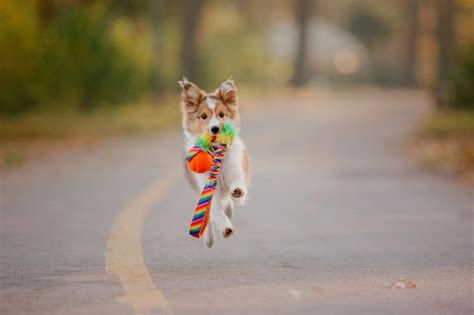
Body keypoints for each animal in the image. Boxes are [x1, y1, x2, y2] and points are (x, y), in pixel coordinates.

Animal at [179, 78, 252, 248]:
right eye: (203, 116)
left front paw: (237, 190)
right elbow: (216, 213)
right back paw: (209, 237)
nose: (215, 129)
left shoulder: (235, 171)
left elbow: (238, 186)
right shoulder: (207, 188)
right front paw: (226, 228)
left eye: (221, 114)